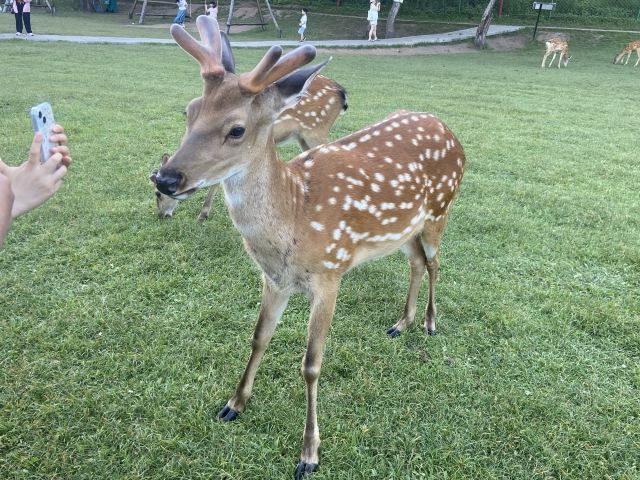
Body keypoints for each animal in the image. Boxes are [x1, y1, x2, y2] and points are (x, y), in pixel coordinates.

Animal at [150, 74, 348, 220]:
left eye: (157, 194)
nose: (162, 215)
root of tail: (341, 92)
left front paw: (203, 215)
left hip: (316, 130)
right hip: (303, 137)